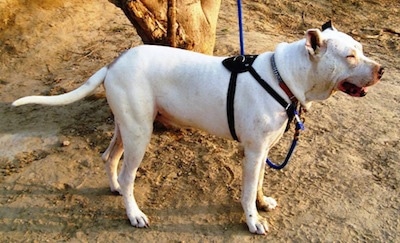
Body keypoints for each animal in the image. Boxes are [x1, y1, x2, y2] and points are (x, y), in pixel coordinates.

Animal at [11, 22, 382, 234]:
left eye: (362, 50)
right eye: (350, 56)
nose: (383, 70)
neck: (284, 77)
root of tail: (113, 63)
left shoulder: (262, 151)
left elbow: (260, 183)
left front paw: (262, 203)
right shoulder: (252, 152)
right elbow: (247, 190)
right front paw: (252, 221)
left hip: (126, 127)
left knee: (108, 157)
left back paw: (114, 187)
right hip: (139, 134)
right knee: (129, 175)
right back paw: (134, 214)